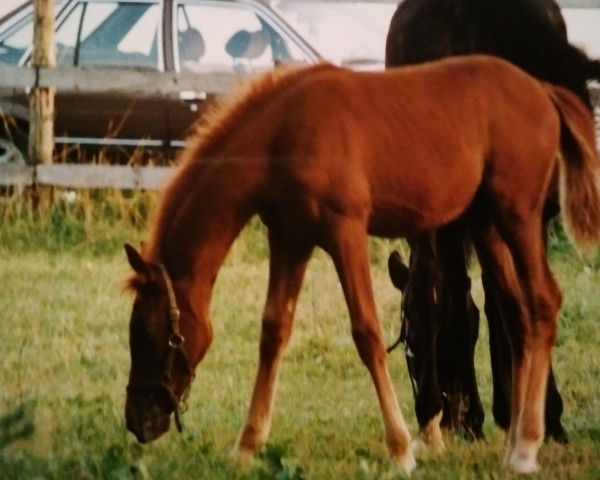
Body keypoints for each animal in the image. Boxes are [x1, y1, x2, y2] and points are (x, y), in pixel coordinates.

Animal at [123, 56, 600, 476]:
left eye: (149, 333)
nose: (137, 420)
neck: (283, 133)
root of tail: (542, 90)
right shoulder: (290, 239)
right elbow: (273, 331)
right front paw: (246, 447)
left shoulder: (345, 232)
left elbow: (366, 332)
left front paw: (402, 450)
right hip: (487, 224)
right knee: (516, 315)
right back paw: (514, 442)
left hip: (518, 216)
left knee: (543, 303)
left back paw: (525, 449)